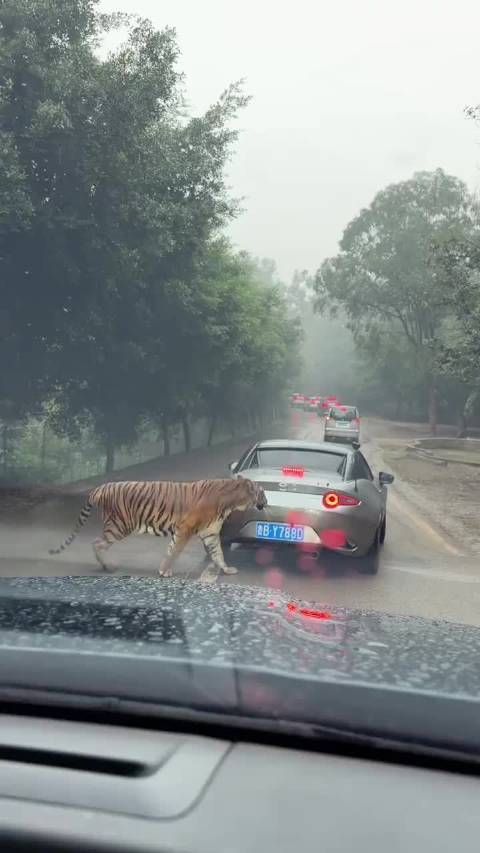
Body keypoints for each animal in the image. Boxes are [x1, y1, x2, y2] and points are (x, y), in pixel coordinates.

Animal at [49, 477, 267, 578]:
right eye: (262, 491)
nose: (266, 501)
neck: (231, 502)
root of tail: (101, 487)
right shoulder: (185, 529)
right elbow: (174, 550)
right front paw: (165, 571)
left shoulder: (210, 534)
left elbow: (218, 554)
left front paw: (227, 569)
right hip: (119, 526)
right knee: (97, 542)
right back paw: (107, 566)